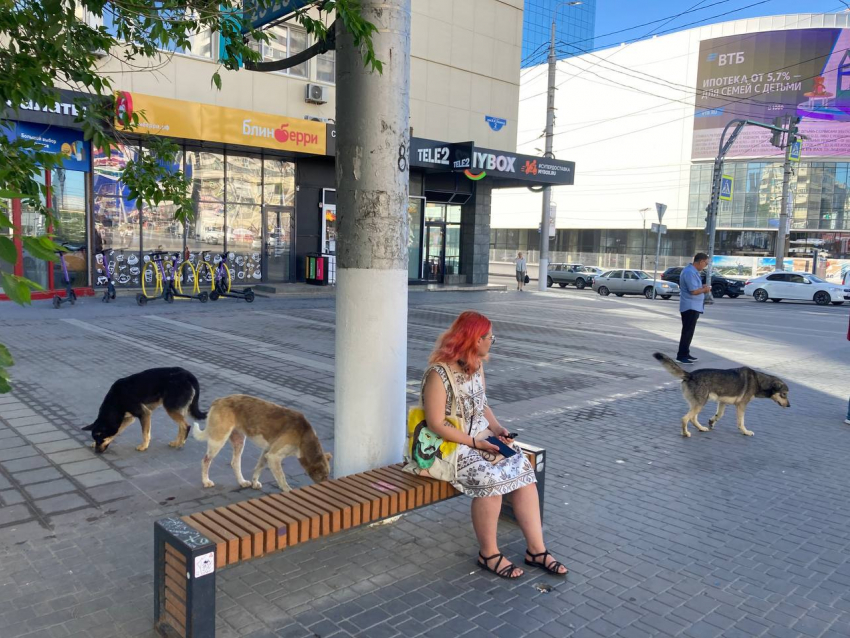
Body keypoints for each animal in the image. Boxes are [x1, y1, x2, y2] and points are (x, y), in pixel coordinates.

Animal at [190, 398, 330, 492]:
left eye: (327, 475)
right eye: (322, 476)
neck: (304, 434)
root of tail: (218, 400)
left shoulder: (267, 452)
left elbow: (259, 468)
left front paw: (254, 482)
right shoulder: (274, 456)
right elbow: (282, 479)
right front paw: (288, 492)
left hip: (239, 441)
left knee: (235, 463)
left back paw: (242, 482)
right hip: (218, 440)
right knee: (205, 461)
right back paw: (206, 481)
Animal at [656, 356, 788, 440]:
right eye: (784, 394)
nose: (789, 405)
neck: (759, 381)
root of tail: (690, 374)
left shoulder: (723, 402)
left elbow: (719, 415)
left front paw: (711, 422)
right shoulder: (741, 406)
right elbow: (741, 422)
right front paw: (745, 432)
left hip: (697, 404)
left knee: (692, 418)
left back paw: (701, 428)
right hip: (700, 404)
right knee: (685, 418)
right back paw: (685, 433)